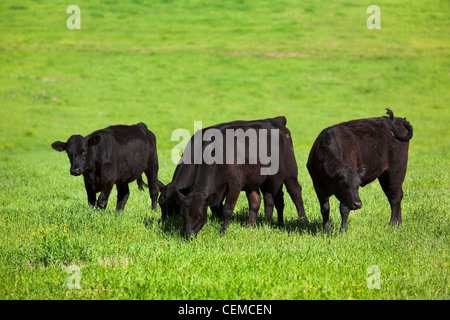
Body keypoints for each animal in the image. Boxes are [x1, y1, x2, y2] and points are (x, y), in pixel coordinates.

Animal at [169, 116, 306, 239]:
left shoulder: (235, 185)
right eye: (182, 215)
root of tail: (276, 120)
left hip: (285, 174)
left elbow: (227, 209)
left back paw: (293, 221)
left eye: (198, 216)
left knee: (289, 195)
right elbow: (217, 206)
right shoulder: (219, 189)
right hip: (255, 180)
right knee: (257, 200)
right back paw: (252, 225)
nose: (187, 236)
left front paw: (223, 231)